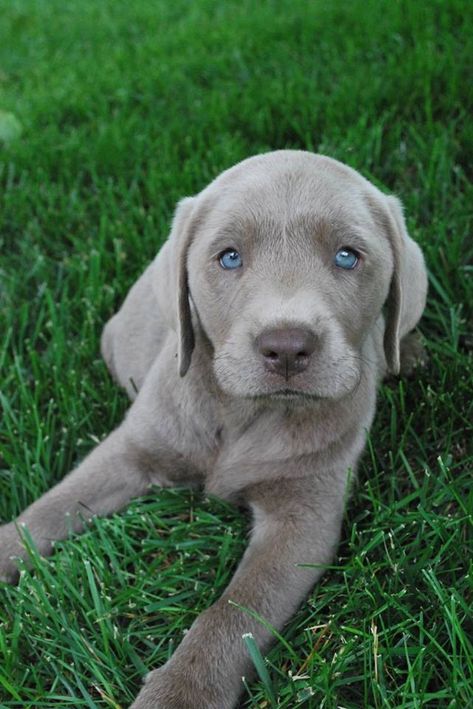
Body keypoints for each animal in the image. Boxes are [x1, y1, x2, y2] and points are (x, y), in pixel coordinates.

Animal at [0, 151, 428, 708]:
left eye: (346, 257)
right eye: (228, 258)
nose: (286, 346)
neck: (246, 414)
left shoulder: (302, 519)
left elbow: (231, 615)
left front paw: (181, 693)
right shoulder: (133, 448)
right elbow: (51, 508)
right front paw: (9, 548)